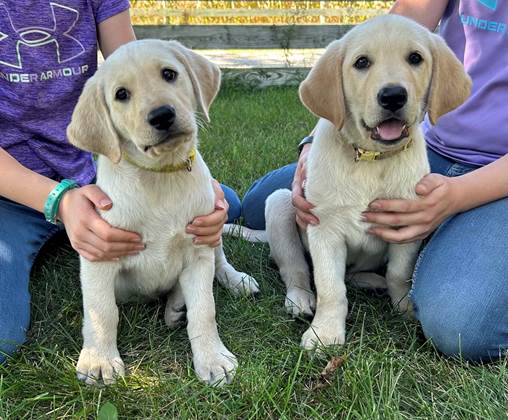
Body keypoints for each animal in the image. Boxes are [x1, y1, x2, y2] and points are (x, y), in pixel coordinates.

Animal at [66, 40, 258, 388]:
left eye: (169, 74)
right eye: (121, 94)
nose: (162, 115)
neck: (160, 176)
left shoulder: (198, 248)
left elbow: (205, 310)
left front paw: (212, 358)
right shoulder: (99, 253)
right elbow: (102, 311)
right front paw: (99, 360)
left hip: (213, 227)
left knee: (220, 262)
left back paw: (224, 285)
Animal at [266, 14, 472, 350]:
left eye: (415, 58)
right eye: (361, 62)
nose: (393, 96)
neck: (371, 159)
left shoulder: (407, 224)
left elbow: (399, 274)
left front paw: (405, 308)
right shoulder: (324, 228)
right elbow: (330, 286)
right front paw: (324, 332)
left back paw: (373, 282)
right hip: (280, 204)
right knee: (295, 269)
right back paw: (300, 299)